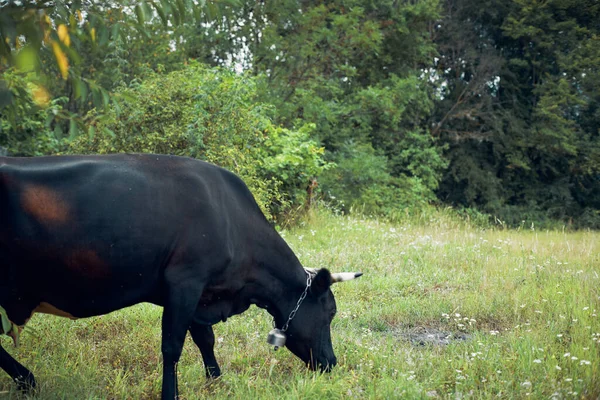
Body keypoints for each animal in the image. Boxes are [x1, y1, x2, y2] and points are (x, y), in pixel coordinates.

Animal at [0, 155, 360, 398]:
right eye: (330, 312)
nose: (331, 362)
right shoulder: (185, 281)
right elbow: (172, 346)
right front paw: (170, 394)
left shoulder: (202, 293)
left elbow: (205, 339)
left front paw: (216, 380)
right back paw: (28, 380)